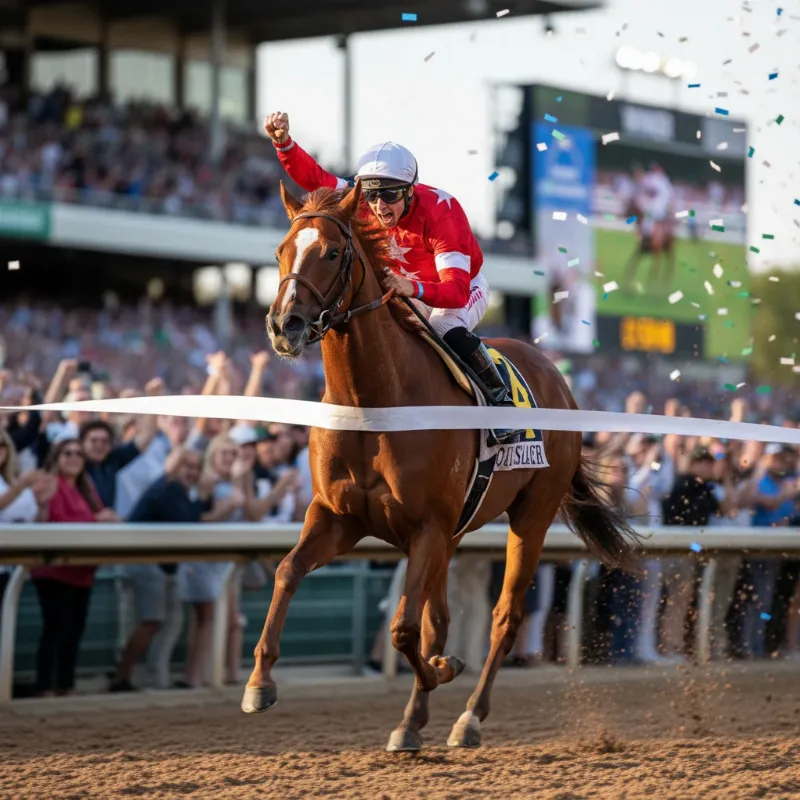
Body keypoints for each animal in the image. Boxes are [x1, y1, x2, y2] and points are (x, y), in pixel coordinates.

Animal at [242, 180, 639, 751]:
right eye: (280, 252)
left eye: (333, 253)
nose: (283, 325)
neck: (375, 403)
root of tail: (557, 377)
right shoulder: (338, 516)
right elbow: (287, 572)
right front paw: (259, 682)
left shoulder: (427, 525)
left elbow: (405, 629)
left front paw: (442, 672)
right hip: (454, 533)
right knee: (441, 618)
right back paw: (414, 719)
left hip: (531, 515)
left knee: (505, 616)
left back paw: (468, 717)